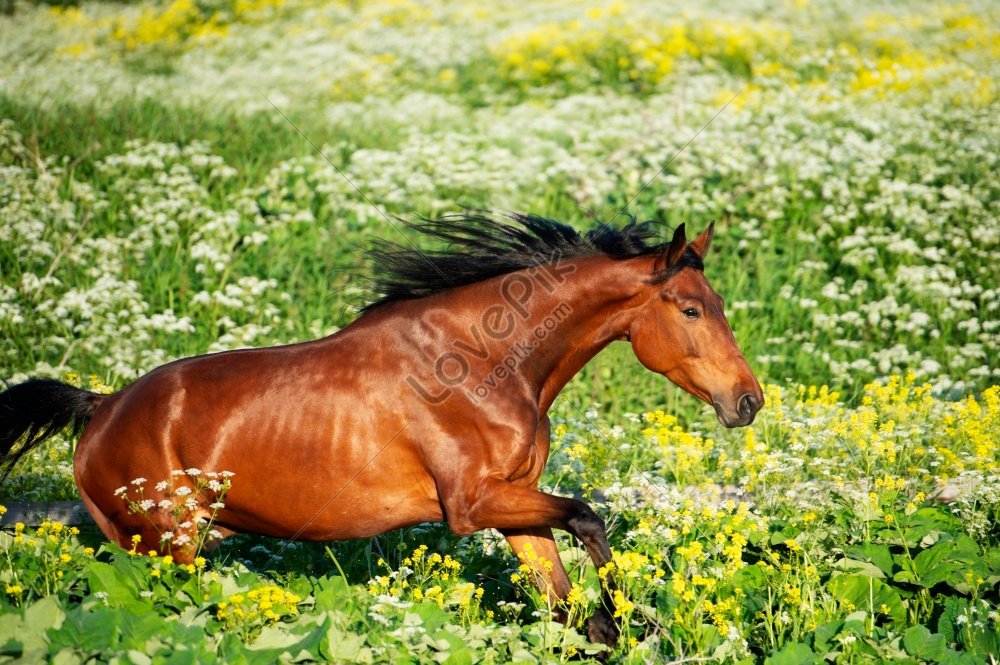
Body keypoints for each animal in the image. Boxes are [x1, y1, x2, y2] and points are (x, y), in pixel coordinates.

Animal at [0, 214, 760, 644]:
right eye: (691, 309)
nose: (748, 400)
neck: (483, 362)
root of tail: (101, 408)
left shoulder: (512, 505)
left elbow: (567, 598)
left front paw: (619, 623)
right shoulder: (471, 504)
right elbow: (588, 516)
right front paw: (639, 617)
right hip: (164, 546)